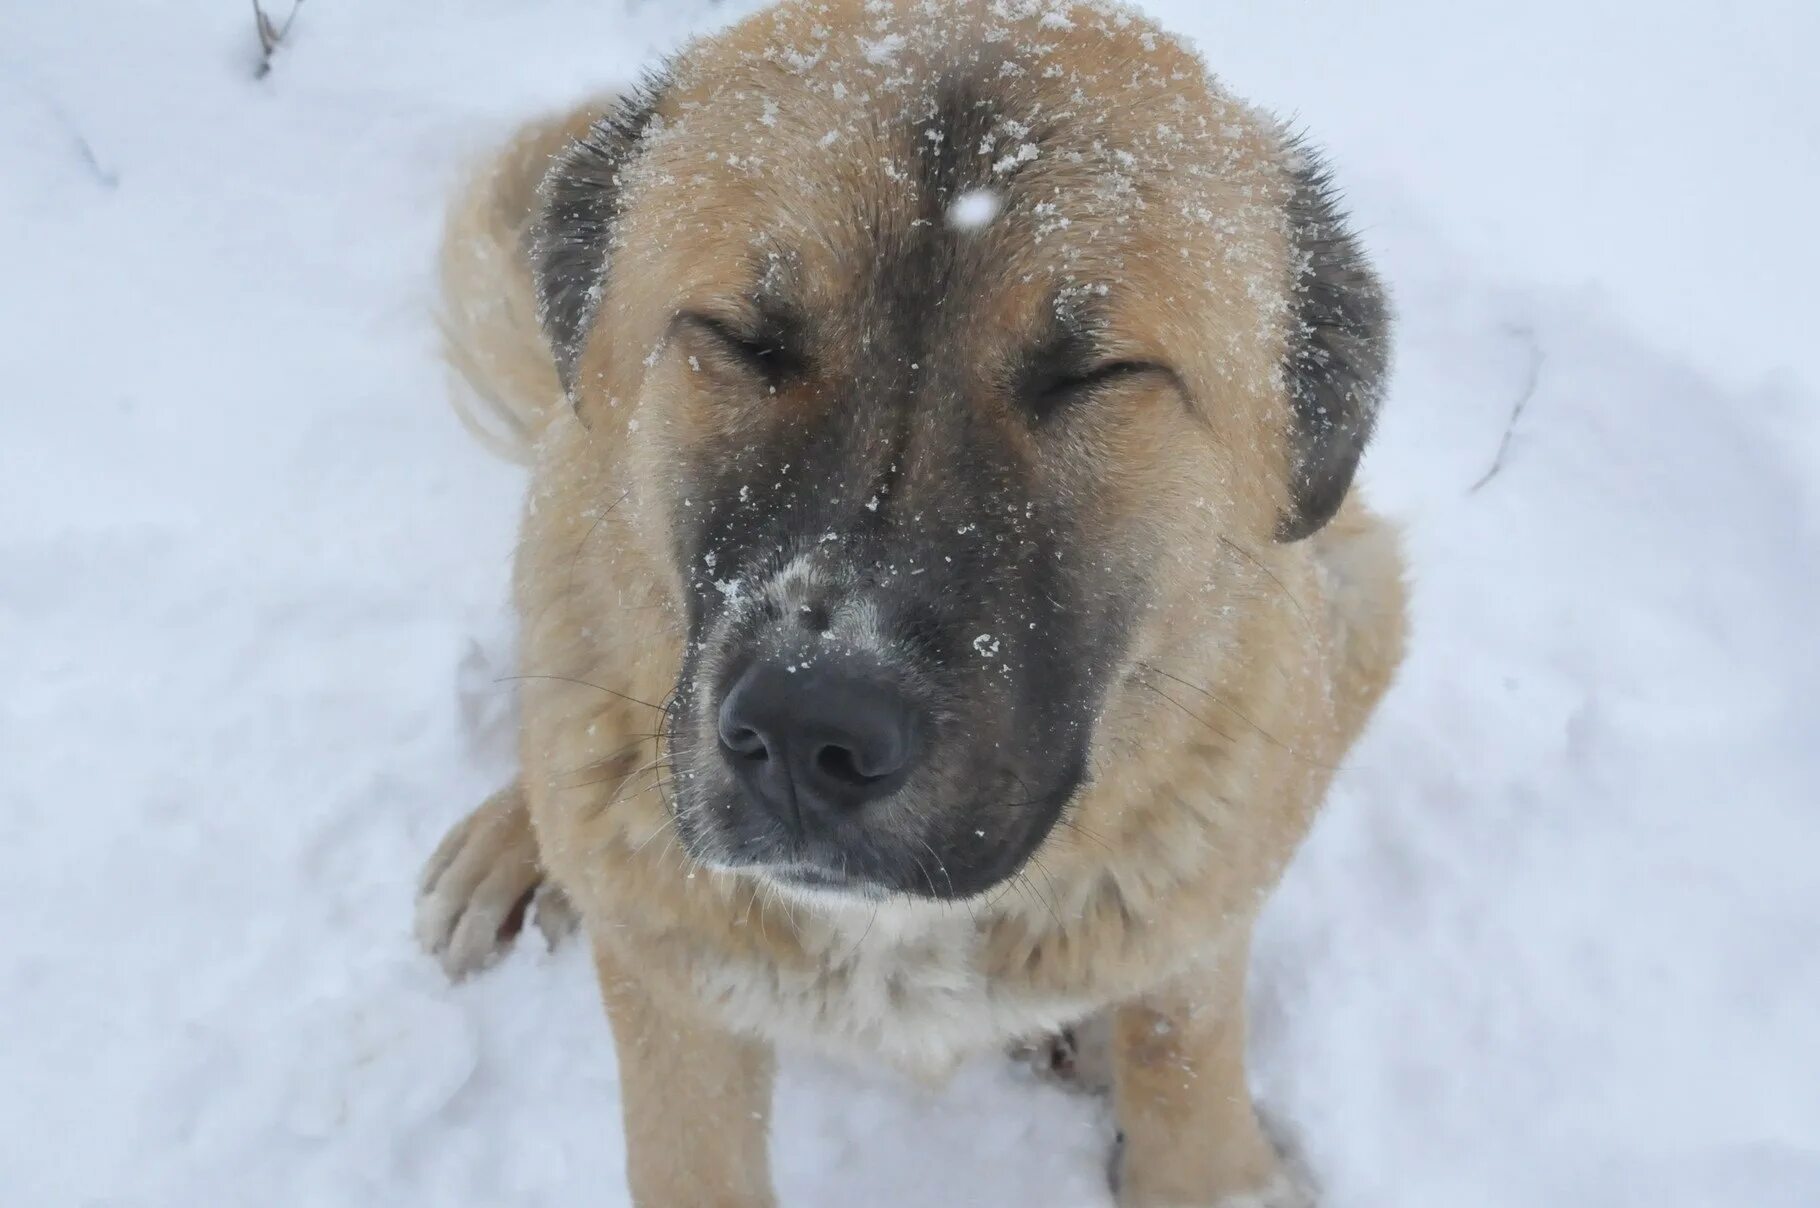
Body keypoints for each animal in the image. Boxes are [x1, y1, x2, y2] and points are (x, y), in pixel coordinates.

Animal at [416, 4, 1405, 1200]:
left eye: (1091, 377)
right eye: (743, 337)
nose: (808, 733)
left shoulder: (1201, 926)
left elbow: (1183, 1043)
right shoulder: (678, 1020)